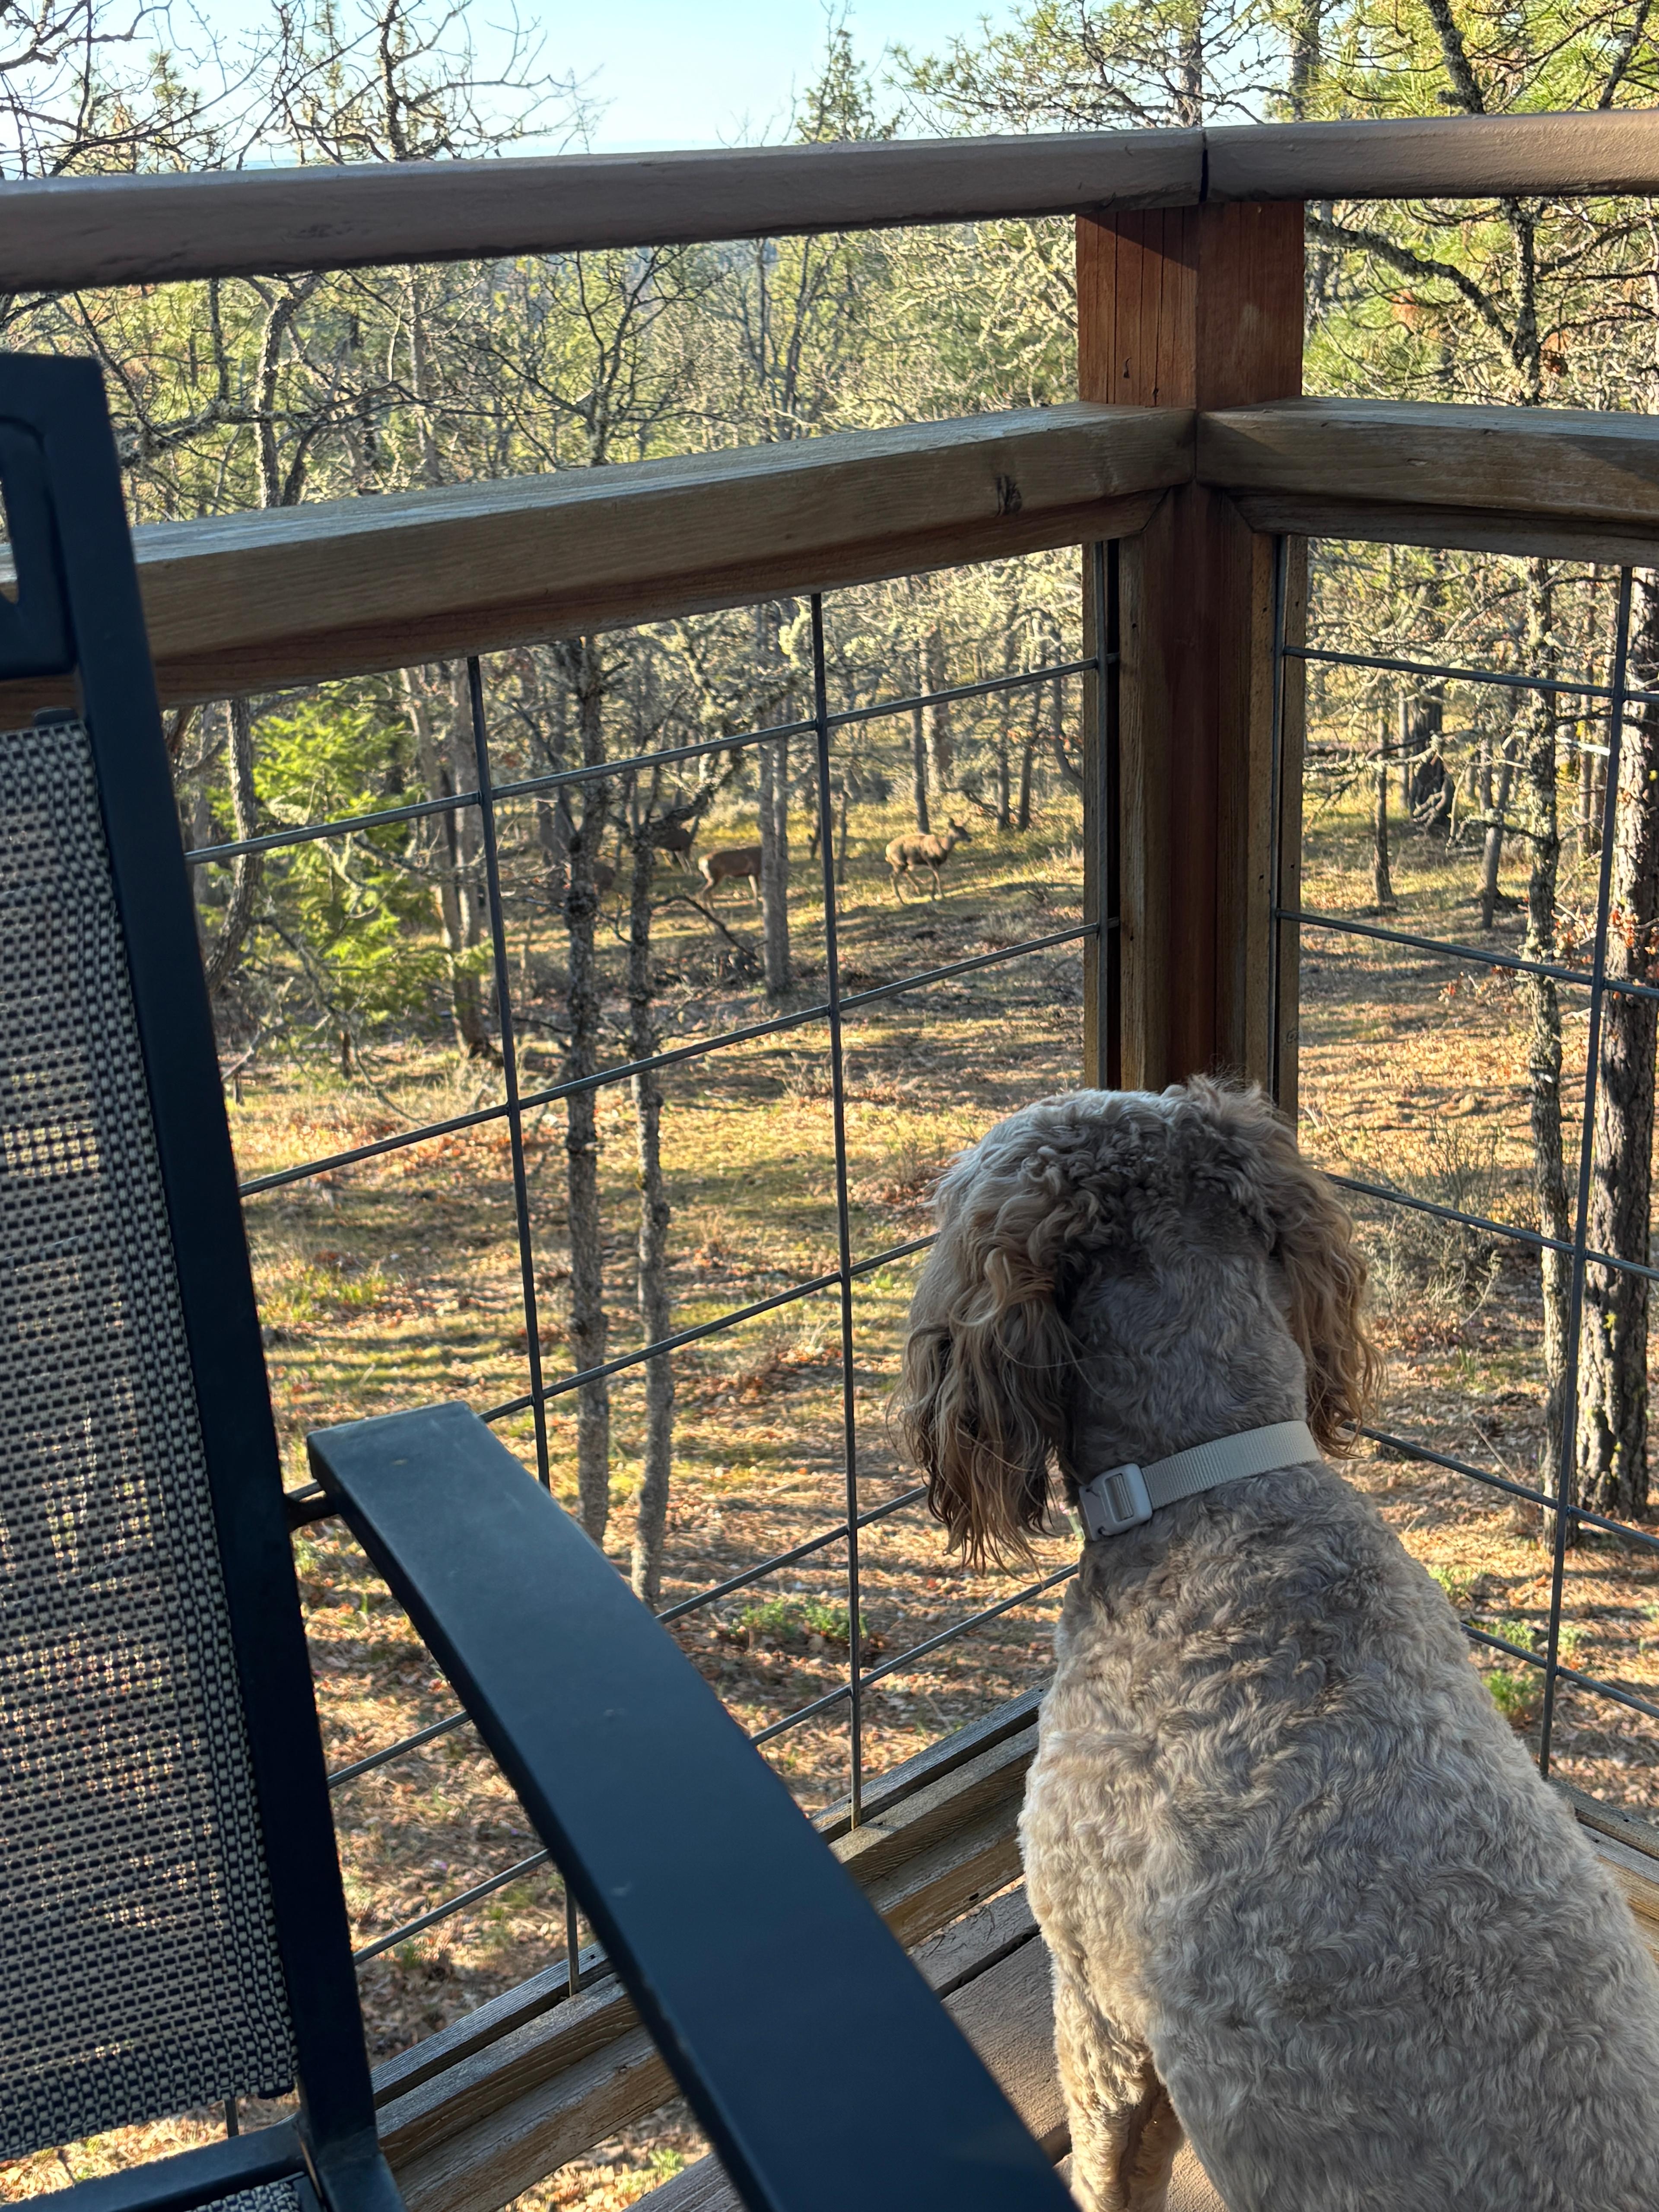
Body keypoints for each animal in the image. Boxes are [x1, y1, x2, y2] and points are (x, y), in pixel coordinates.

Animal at [885, 819, 971, 904]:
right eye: (958, 831)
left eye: (965, 829)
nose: (970, 839)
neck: (943, 848)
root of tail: (887, 849)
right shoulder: (930, 860)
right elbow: (938, 877)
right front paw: (942, 896)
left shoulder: (936, 864)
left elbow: (934, 879)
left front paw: (933, 897)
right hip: (899, 863)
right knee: (893, 876)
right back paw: (901, 901)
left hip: (904, 864)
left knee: (906, 873)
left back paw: (918, 891)